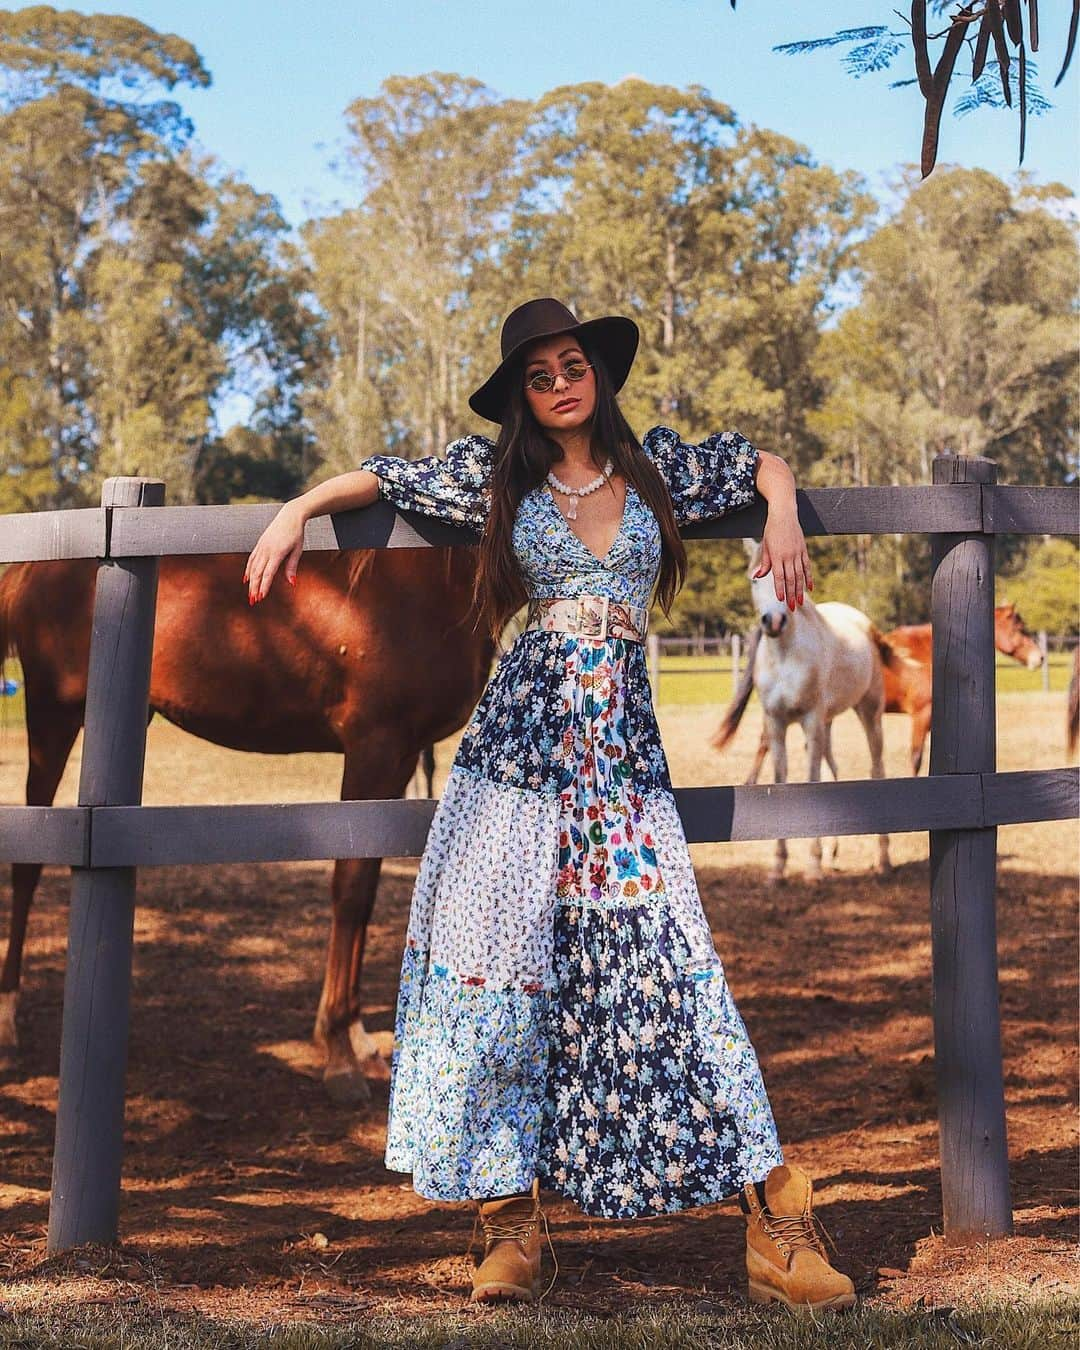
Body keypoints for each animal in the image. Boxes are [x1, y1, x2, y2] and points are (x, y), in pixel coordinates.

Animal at [0, 542, 494, 1101]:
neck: (423, 579)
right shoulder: (373, 749)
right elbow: (350, 891)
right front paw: (339, 1055)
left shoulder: (403, 759)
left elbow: (366, 892)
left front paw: (355, 1037)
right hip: (51, 718)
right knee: (28, 867)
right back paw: (9, 1017)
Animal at [718, 537, 901, 885]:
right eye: (754, 580)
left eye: (793, 580)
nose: (773, 622)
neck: (786, 658)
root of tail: (863, 622)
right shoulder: (776, 723)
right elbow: (783, 781)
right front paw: (778, 868)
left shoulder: (810, 720)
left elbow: (811, 782)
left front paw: (813, 867)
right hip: (828, 723)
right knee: (835, 770)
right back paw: (832, 855)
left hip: (868, 713)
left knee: (877, 769)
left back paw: (883, 860)